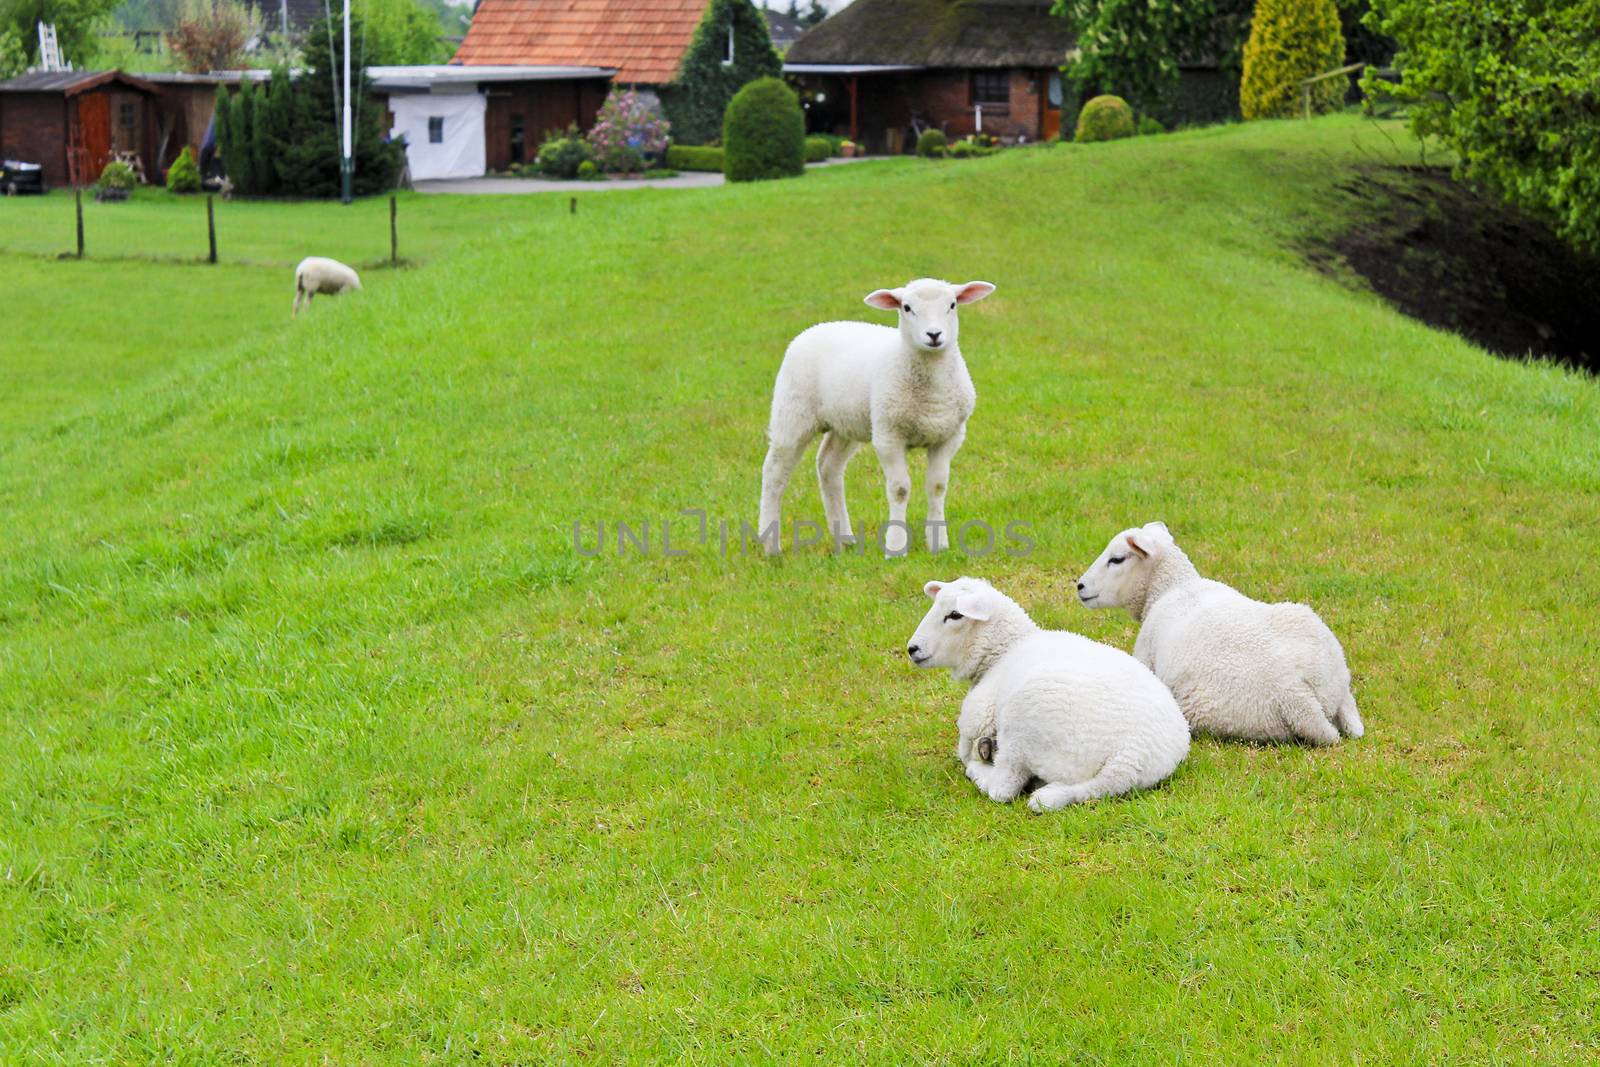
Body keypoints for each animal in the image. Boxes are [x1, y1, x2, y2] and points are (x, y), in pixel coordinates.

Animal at [755, 275, 992, 559]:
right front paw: (895, 547)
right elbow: (900, 489)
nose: (934, 335)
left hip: (846, 422)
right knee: (775, 472)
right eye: (907, 307)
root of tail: (818, 327)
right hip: (793, 412)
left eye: (953, 304)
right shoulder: (888, 435)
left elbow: (937, 487)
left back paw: (844, 539)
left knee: (828, 467)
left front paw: (939, 544)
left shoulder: (949, 436)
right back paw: (770, 545)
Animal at [902, 575, 1190, 809]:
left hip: (1024, 726)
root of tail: (1129, 758)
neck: (1004, 650)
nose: (912, 649)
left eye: (955, 615)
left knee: (1004, 787)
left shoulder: (976, 715)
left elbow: (964, 752)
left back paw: (981, 766)